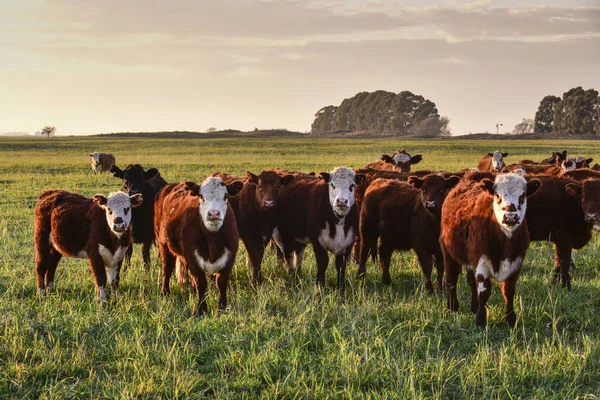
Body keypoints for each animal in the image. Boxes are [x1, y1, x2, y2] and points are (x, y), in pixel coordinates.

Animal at [155, 178, 244, 316]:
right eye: (201, 197)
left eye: (226, 196)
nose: (214, 213)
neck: (213, 240)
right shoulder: (193, 258)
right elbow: (201, 283)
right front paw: (201, 309)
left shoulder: (229, 257)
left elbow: (221, 282)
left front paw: (222, 307)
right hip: (163, 245)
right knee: (167, 270)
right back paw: (165, 293)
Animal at [438, 173, 540, 326]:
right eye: (497, 195)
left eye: (522, 196)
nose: (510, 217)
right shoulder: (481, 262)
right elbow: (484, 291)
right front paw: (480, 320)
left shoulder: (516, 263)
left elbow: (508, 291)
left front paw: (510, 319)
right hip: (448, 252)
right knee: (451, 279)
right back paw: (452, 307)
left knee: (471, 281)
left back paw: (473, 307)